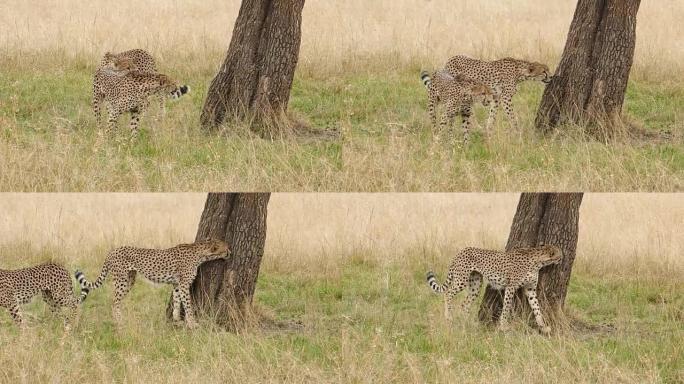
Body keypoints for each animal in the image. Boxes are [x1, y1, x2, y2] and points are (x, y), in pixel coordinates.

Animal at [75, 238, 230, 328]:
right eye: (226, 248)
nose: (230, 252)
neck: (200, 253)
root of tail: (113, 251)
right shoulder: (184, 284)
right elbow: (188, 304)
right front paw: (192, 323)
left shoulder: (177, 284)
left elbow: (177, 301)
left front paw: (176, 319)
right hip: (121, 280)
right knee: (114, 301)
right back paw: (119, 321)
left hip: (130, 280)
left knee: (116, 300)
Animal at [428, 246, 560, 332]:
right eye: (560, 254)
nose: (562, 258)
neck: (538, 261)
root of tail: (462, 250)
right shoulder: (511, 287)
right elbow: (506, 307)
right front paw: (503, 326)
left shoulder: (530, 289)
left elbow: (536, 308)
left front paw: (543, 327)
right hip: (461, 279)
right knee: (448, 293)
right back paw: (448, 316)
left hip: (476, 284)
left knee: (465, 303)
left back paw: (468, 322)